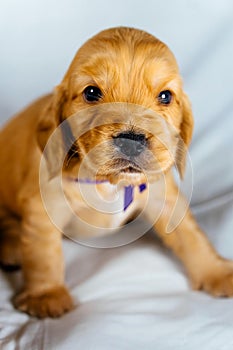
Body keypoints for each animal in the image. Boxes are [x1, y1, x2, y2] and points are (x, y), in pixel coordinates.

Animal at [0, 26, 233, 318]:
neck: (111, 183)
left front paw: (217, 271)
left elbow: (191, 235)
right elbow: (44, 253)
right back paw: (11, 247)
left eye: (165, 96)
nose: (131, 141)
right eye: (91, 93)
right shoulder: (44, 205)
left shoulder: (162, 194)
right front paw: (46, 294)